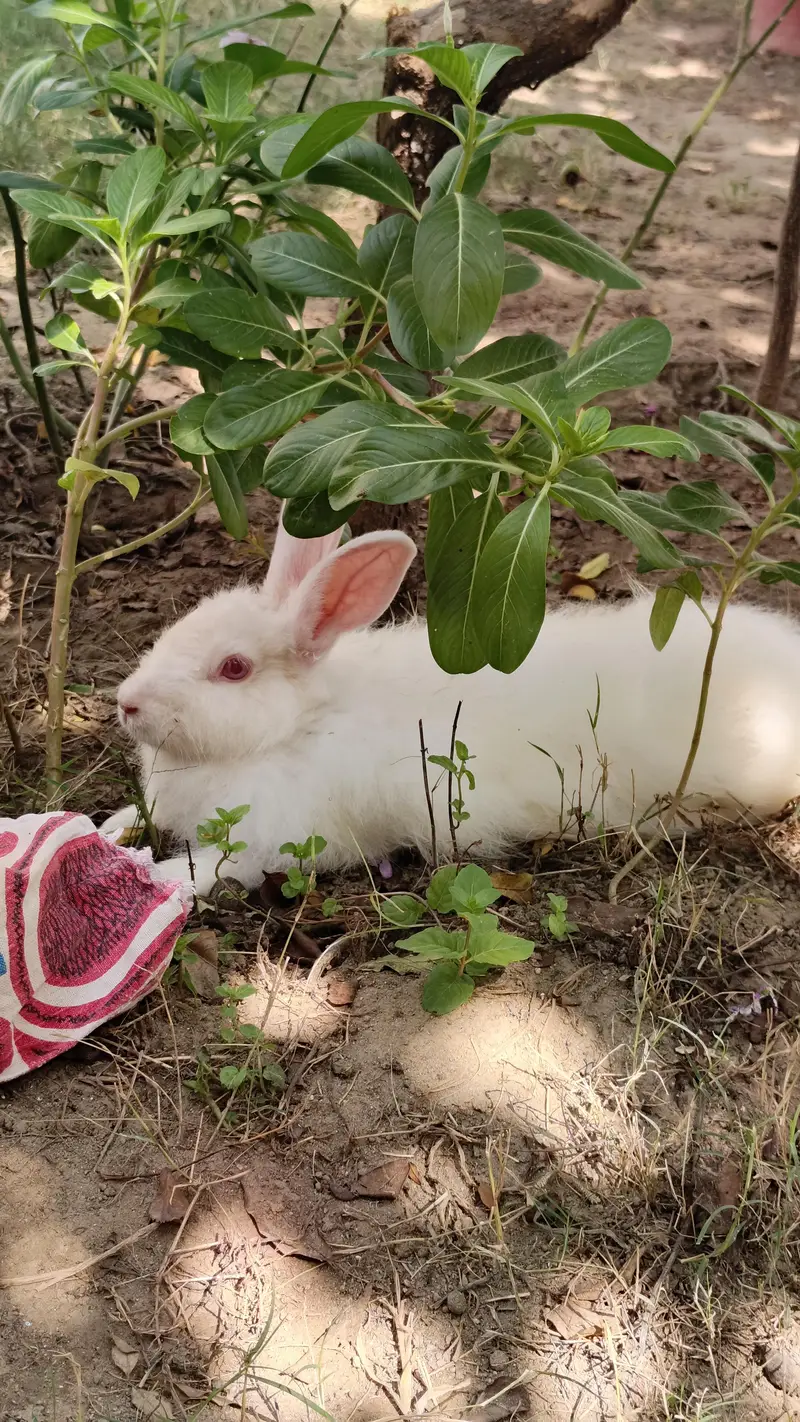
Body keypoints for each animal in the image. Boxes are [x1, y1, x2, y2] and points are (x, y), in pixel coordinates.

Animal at [102, 514, 800, 898]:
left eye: (234, 669)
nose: (126, 704)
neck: (297, 727)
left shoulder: (267, 844)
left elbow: (198, 872)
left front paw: (143, 877)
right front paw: (110, 831)